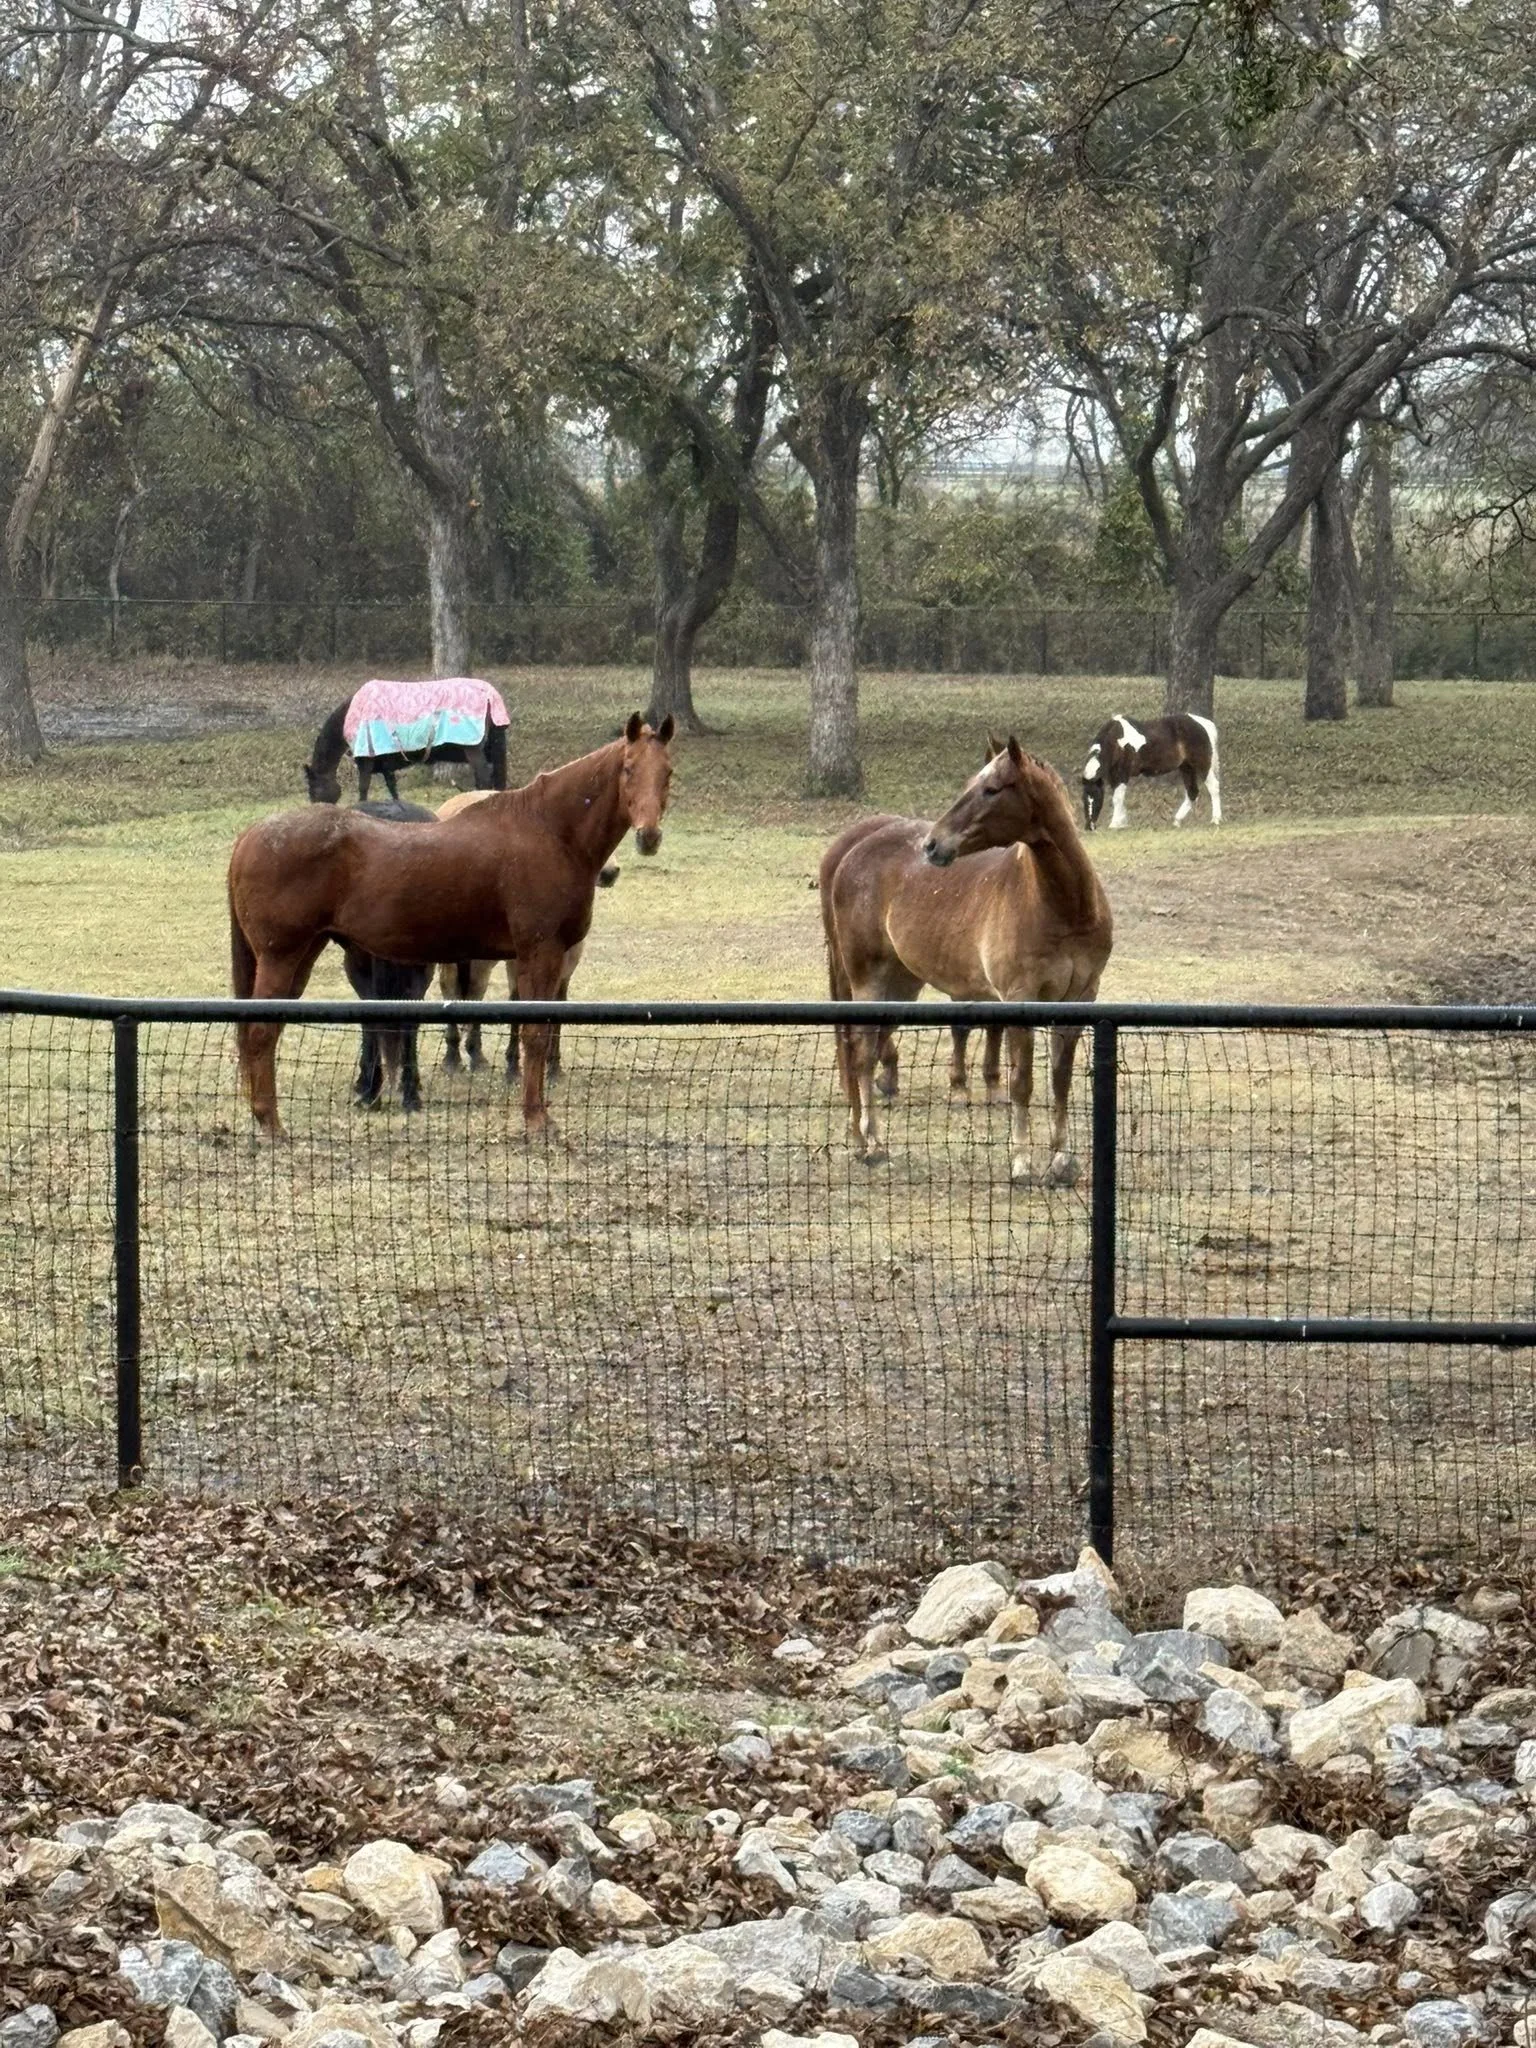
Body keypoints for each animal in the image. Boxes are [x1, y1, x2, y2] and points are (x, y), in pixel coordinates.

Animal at [303, 677, 510, 805]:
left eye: (313, 789)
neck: (353, 714)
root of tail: (489, 695)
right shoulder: (386, 764)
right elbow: (393, 789)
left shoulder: (366, 761)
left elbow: (363, 788)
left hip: (473, 749)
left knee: (484, 777)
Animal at [434, 787, 621, 1082]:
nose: (609, 873)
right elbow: (519, 1002)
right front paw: (513, 1067)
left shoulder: (567, 962)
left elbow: (557, 1004)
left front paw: (553, 1067)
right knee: (451, 987)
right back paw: (454, 1057)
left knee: (475, 989)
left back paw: (477, 1055)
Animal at [821, 738, 1113, 1184]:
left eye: (991, 789)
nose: (932, 845)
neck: (1066, 907)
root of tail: (851, 852)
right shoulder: (1020, 997)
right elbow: (1022, 1081)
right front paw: (1022, 1163)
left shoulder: (1081, 998)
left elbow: (1060, 1080)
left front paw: (1062, 1161)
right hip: (866, 978)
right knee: (861, 1053)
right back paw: (872, 1143)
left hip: (902, 982)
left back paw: (859, 1139)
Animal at [1081, 711, 1221, 831]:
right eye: (1084, 799)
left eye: (1097, 799)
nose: (1090, 827)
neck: (1116, 741)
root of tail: (1204, 724)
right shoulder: (1113, 776)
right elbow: (1117, 798)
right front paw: (1122, 822)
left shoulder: (1122, 775)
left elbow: (1117, 798)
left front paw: (1115, 824)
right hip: (1187, 767)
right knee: (1192, 792)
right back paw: (1177, 821)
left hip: (1202, 765)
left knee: (1213, 787)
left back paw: (1216, 819)